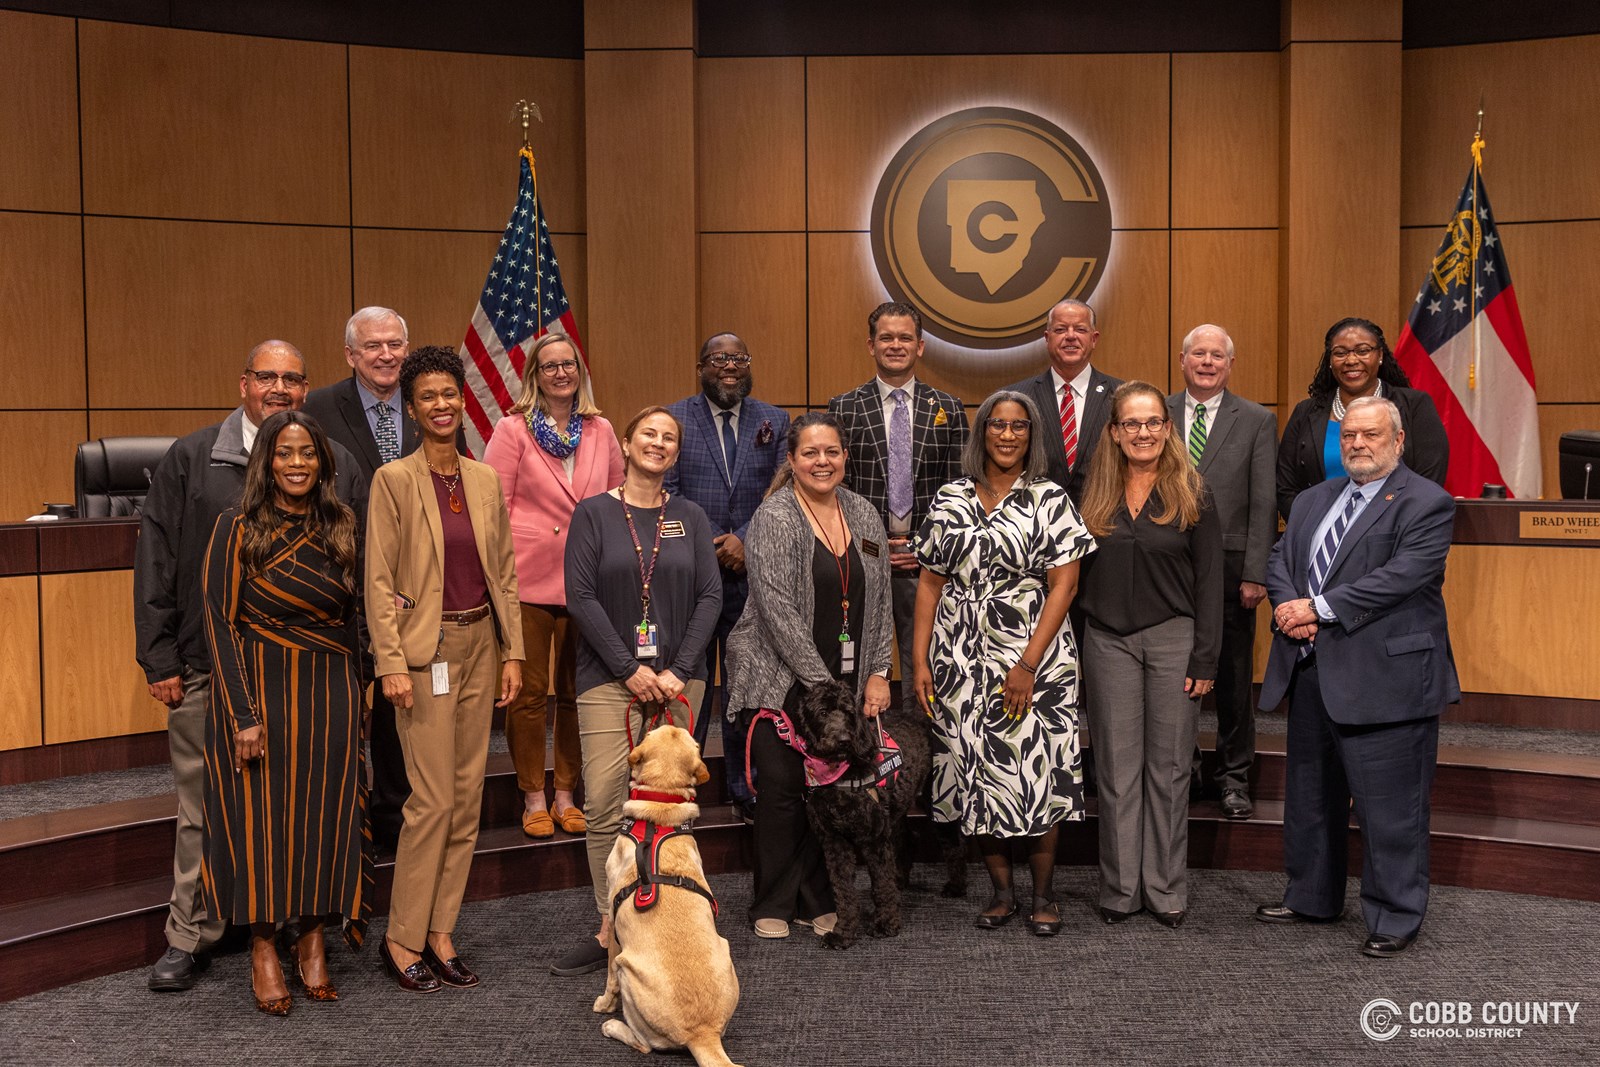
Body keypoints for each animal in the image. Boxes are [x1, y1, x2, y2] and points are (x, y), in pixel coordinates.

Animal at [592, 726, 739, 1067]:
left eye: (648, 732)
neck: (660, 813)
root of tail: (703, 1034)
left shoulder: (614, 931)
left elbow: (608, 977)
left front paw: (604, 1004)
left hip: (628, 969)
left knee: (644, 1044)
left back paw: (613, 1026)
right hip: (726, 953)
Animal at [793, 681, 934, 947]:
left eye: (849, 712)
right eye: (822, 712)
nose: (843, 740)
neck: (841, 773)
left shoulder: (874, 840)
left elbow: (881, 885)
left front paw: (886, 924)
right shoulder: (834, 842)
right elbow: (843, 891)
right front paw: (843, 932)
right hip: (896, 813)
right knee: (905, 839)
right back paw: (901, 878)